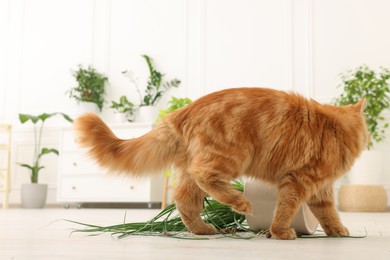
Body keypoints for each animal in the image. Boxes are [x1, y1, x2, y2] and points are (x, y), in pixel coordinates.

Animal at [74, 87, 368, 240]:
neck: (335, 128)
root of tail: (184, 110)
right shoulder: (298, 181)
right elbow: (285, 210)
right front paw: (281, 232)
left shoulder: (321, 189)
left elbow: (328, 214)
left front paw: (339, 232)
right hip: (231, 157)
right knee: (204, 177)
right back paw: (240, 203)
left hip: (192, 172)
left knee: (184, 199)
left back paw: (203, 229)